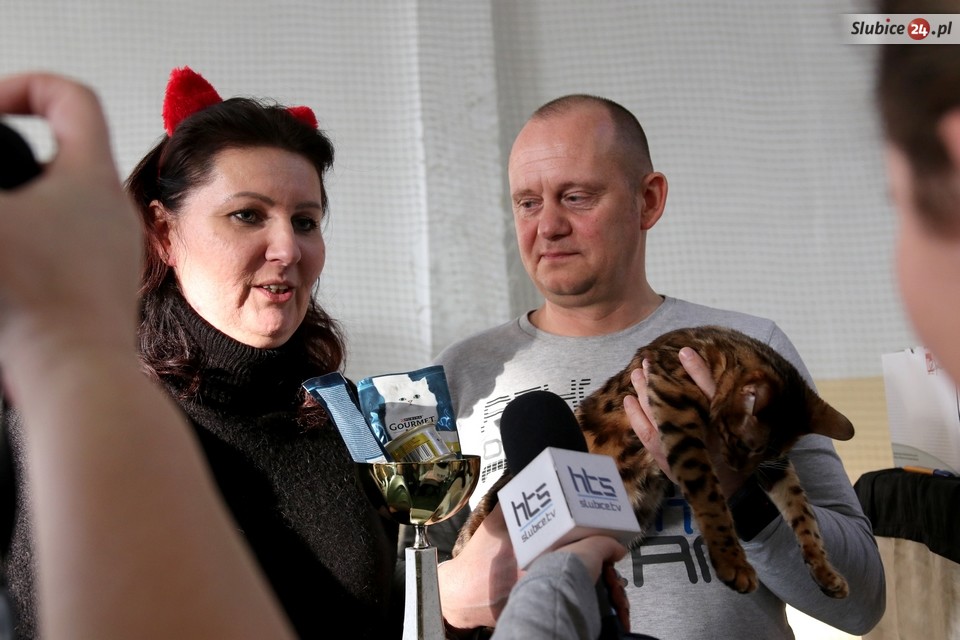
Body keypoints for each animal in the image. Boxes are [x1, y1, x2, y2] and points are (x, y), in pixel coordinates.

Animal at [453, 325, 854, 598]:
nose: (739, 472)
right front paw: (731, 562)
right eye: (739, 442)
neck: (716, 348)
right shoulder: (677, 413)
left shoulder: (778, 467)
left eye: (760, 452)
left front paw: (825, 571)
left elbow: (804, 513)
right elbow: (711, 498)